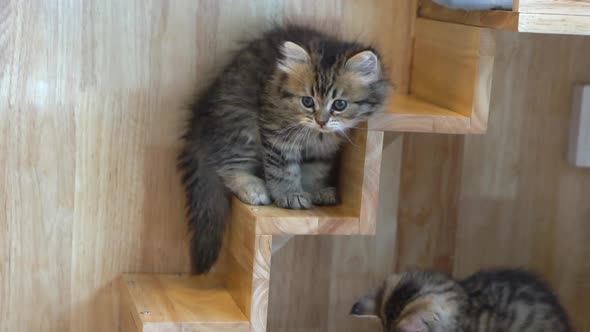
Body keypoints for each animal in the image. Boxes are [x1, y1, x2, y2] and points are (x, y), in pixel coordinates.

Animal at [178, 26, 396, 274]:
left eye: (339, 104)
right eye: (307, 101)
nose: (321, 121)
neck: (315, 134)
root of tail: (201, 116)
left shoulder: (324, 148)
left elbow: (315, 170)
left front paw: (314, 190)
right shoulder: (277, 134)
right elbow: (283, 170)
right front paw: (290, 194)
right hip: (241, 125)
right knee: (227, 166)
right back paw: (253, 188)